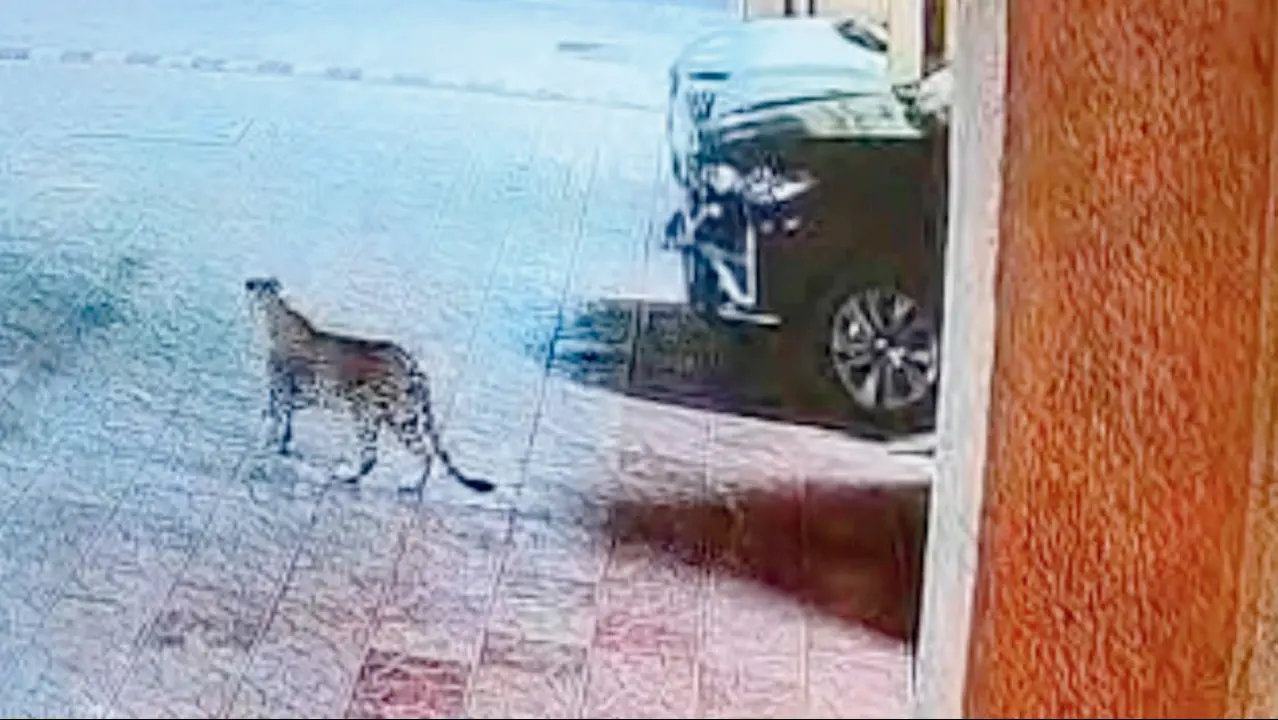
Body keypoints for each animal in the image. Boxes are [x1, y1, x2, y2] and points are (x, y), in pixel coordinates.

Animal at [243, 276, 494, 494]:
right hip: (402, 418)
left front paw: (267, 445)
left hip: (370, 417)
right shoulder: (303, 393)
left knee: (377, 456)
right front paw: (283, 442)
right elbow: (285, 417)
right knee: (424, 452)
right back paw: (411, 485)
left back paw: (356, 478)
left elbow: (275, 417)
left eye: (256, 285)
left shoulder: (283, 391)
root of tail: (410, 363)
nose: (247, 283)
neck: (275, 315)